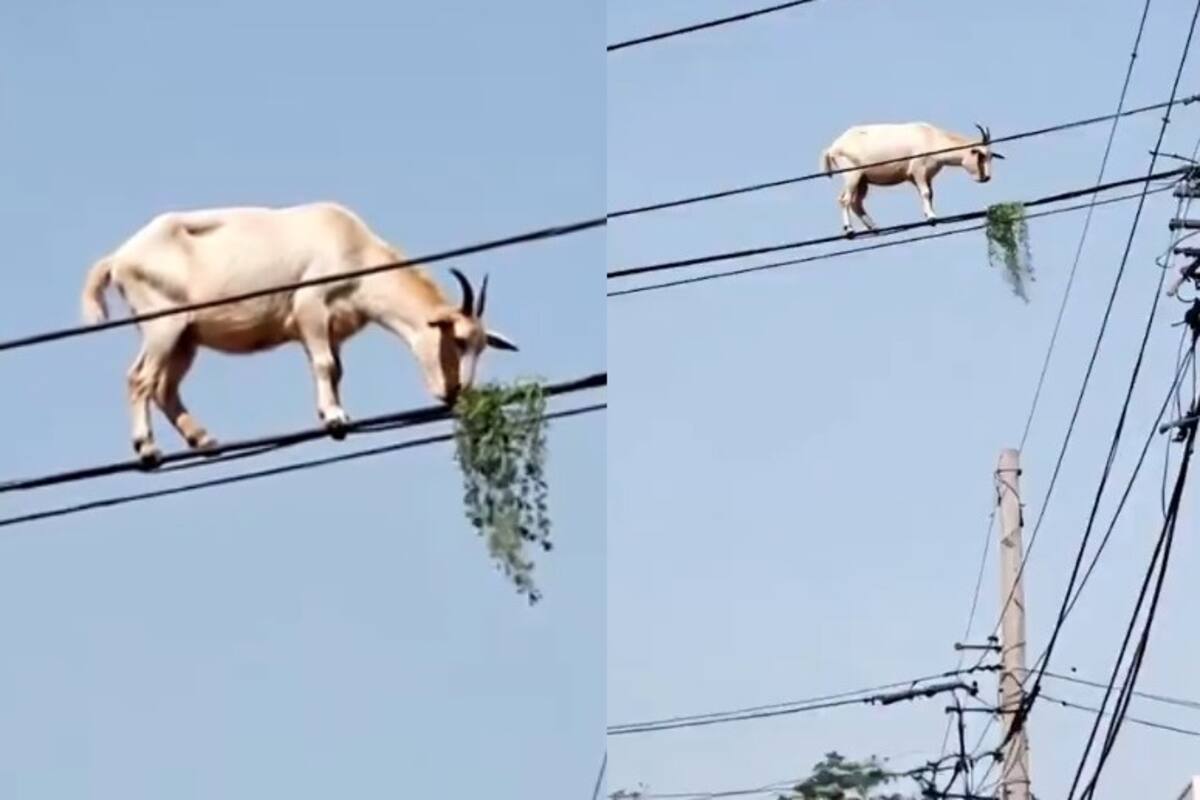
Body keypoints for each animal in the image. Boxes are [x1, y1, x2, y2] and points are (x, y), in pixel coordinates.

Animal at [80, 202, 519, 464]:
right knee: (139, 379)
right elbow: (324, 365)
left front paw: (335, 416)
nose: (456, 391)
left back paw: (203, 440)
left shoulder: (330, 328)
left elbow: (334, 369)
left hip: (185, 336)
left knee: (163, 387)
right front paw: (335, 417)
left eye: (482, 347)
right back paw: (147, 447)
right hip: (164, 323)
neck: (355, 250)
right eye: (458, 339)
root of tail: (118, 259)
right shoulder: (309, 306)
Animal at [819, 122, 1005, 233]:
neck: (932, 138)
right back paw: (849, 229)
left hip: (862, 180)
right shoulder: (918, 170)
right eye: (980, 155)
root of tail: (832, 148)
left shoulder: (924, 176)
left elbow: (930, 194)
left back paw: (873, 227)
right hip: (853, 174)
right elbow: (925, 193)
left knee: (855, 202)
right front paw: (931, 217)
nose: (986, 177)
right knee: (844, 200)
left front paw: (931, 215)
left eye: (990, 157)